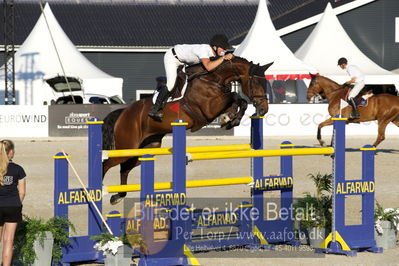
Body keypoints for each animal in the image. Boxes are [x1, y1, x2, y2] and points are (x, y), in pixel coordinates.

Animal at [101, 56, 274, 204]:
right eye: (256, 83)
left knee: (124, 169)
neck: (214, 79)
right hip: (126, 147)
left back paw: (118, 196)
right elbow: (236, 97)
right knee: (107, 164)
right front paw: (230, 120)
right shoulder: (208, 108)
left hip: (146, 149)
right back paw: (98, 192)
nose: (264, 109)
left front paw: (230, 119)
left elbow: (238, 102)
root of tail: (123, 112)